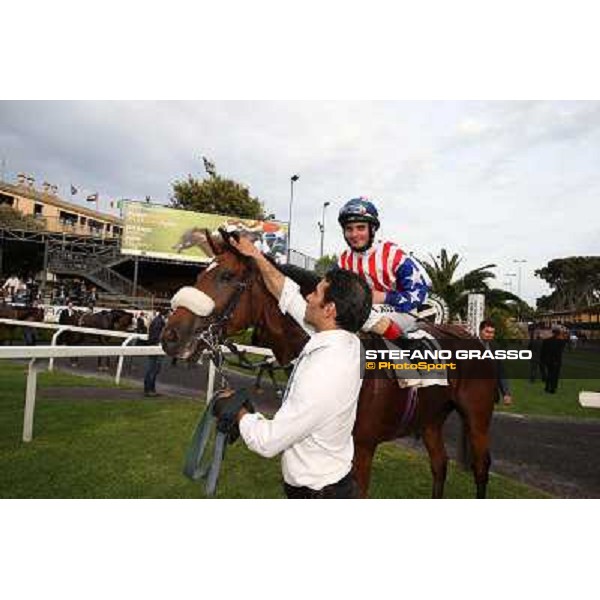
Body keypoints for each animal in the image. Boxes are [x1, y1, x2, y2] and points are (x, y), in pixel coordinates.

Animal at [161, 232, 496, 500]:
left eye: (227, 276)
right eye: (199, 277)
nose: (170, 336)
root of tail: (472, 336)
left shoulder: (361, 450)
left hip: (477, 417)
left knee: (481, 467)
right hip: (431, 418)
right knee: (439, 465)